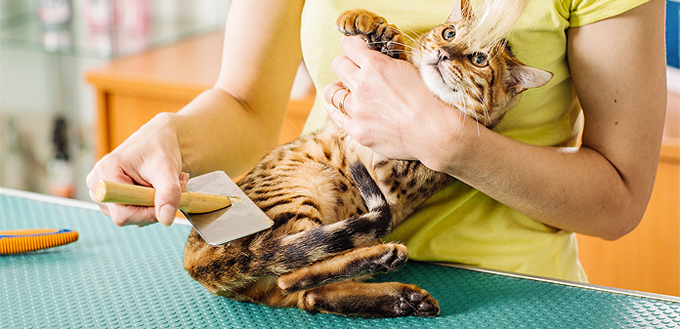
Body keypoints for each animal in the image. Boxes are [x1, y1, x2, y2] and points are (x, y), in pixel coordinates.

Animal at [182, 1, 552, 316]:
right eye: (449, 34)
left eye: (478, 59)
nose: (444, 54)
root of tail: (195, 258)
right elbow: (395, 46)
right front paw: (370, 23)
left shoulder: (395, 174)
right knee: (303, 282)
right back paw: (396, 289)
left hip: (304, 189)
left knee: (297, 277)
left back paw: (389, 270)